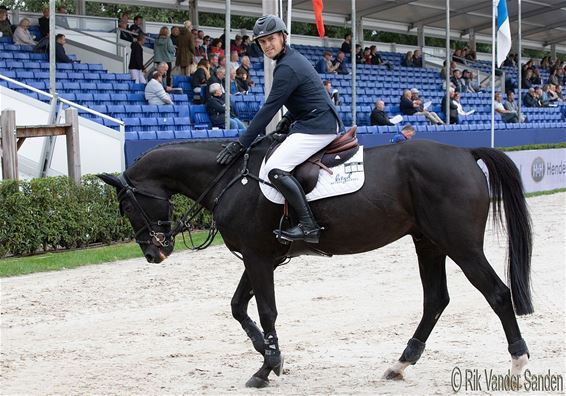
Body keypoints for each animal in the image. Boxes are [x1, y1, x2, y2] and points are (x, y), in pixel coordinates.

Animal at [100, 135, 536, 386]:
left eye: (126, 206)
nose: (154, 253)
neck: (230, 179)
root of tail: (464, 152)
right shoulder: (259, 257)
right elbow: (239, 307)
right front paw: (268, 355)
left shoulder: (258, 258)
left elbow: (267, 310)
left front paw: (266, 368)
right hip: (428, 242)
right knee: (436, 301)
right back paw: (399, 365)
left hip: (460, 244)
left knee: (498, 294)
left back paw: (518, 364)